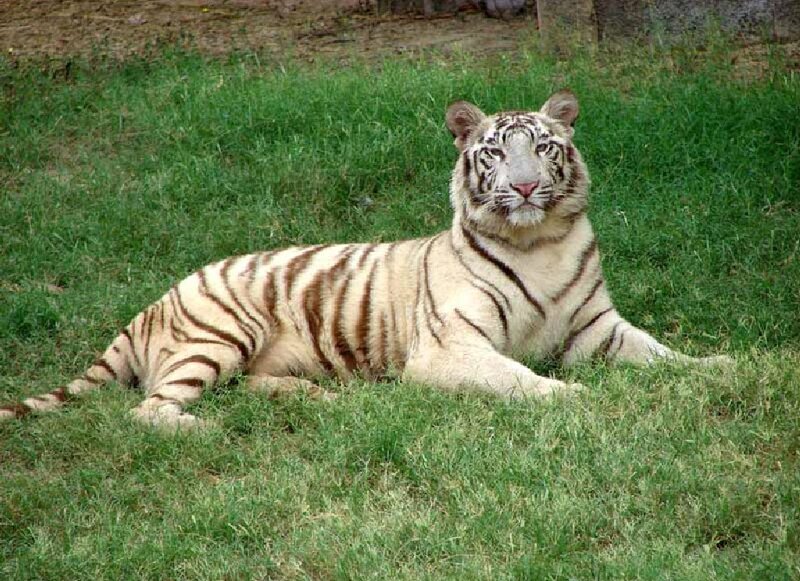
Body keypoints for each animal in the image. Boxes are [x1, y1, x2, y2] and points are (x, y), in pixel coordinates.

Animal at [0, 89, 730, 430]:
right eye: (496, 151)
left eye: (544, 147)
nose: (524, 188)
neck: (539, 241)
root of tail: (151, 304)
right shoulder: (449, 348)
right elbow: (517, 378)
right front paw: (574, 397)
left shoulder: (597, 328)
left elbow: (664, 354)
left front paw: (722, 366)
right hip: (223, 331)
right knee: (149, 411)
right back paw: (205, 430)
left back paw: (316, 398)